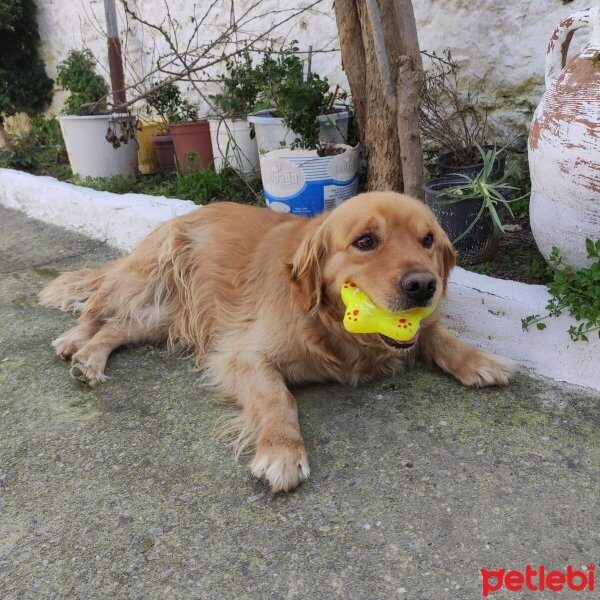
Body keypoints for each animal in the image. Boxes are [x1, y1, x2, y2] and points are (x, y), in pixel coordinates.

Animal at [39, 192, 512, 492]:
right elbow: (277, 399)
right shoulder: (241, 355)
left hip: (167, 317)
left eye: (427, 240)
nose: (424, 286)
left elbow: (438, 335)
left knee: (117, 328)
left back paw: (89, 359)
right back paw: (75, 341)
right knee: (97, 305)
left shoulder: (416, 330)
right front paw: (282, 453)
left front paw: (481, 360)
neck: (336, 329)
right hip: (146, 279)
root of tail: (181, 216)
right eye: (365, 241)